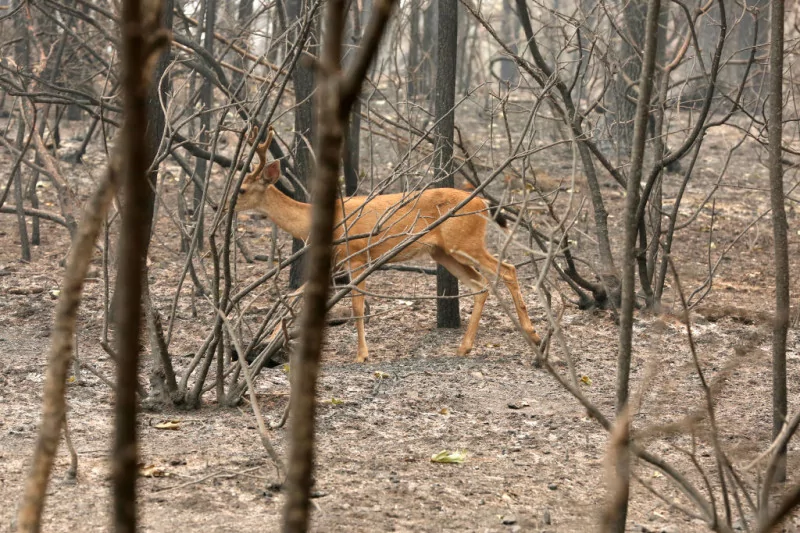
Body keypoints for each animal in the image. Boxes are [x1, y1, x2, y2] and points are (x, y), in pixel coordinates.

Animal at [235, 127, 541, 362]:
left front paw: (362, 355)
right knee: (481, 284)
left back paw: (533, 334)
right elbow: (295, 294)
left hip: (465, 241)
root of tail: (483, 202)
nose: (226, 205)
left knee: (508, 269)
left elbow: (357, 307)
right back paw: (464, 347)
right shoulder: (334, 261)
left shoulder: (357, 257)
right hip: (443, 253)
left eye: (242, 189)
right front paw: (266, 343)